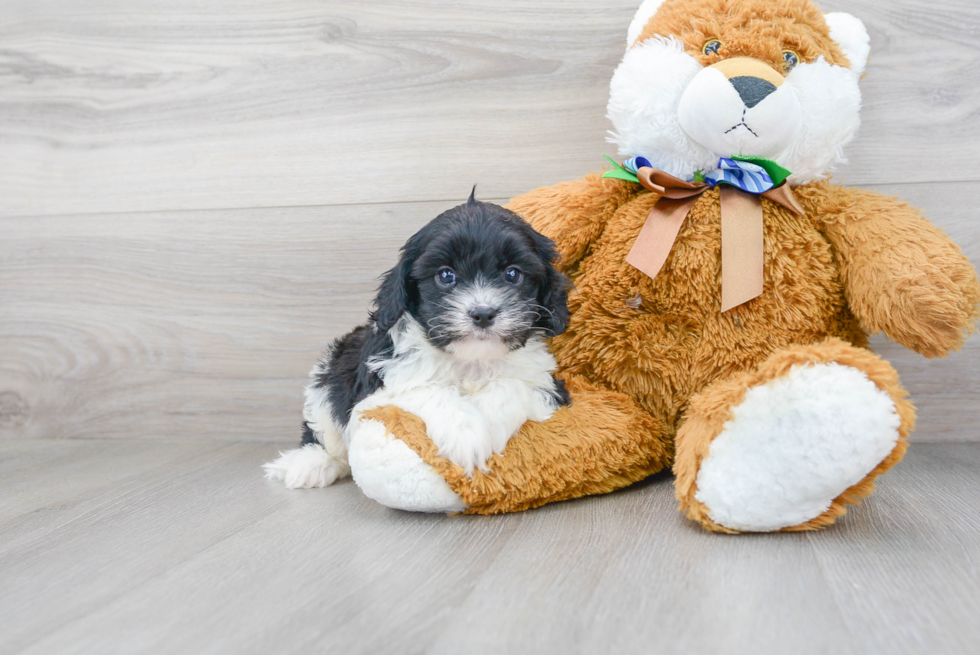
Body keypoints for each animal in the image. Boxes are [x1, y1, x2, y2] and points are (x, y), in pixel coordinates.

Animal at [266, 192, 576, 490]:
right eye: (446, 275)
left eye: (513, 274)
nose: (483, 313)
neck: (470, 360)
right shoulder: (376, 394)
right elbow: (427, 389)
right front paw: (466, 436)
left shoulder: (547, 384)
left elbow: (510, 386)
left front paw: (488, 423)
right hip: (328, 377)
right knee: (323, 430)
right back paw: (310, 464)